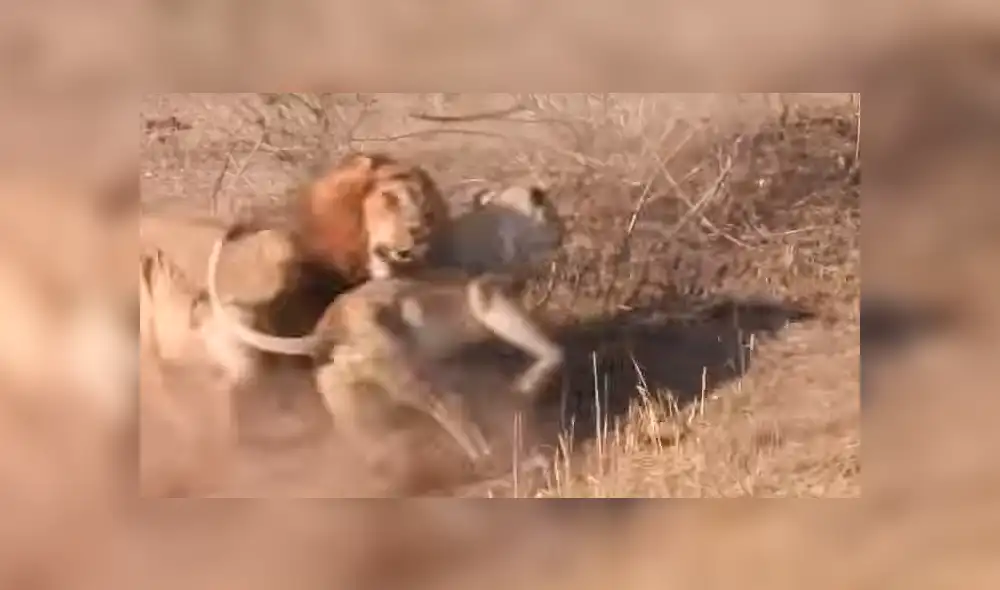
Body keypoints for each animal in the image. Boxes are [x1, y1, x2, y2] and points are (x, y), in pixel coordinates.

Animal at [205, 184, 567, 462]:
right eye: (551, 212)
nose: (563, 233)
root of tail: (327, 330)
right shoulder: (490, 300)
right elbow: (551, 351)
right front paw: (525, 386)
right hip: (409, 371)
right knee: (449, 406)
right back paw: (498, 457)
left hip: (344, 393)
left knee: (362, 437)